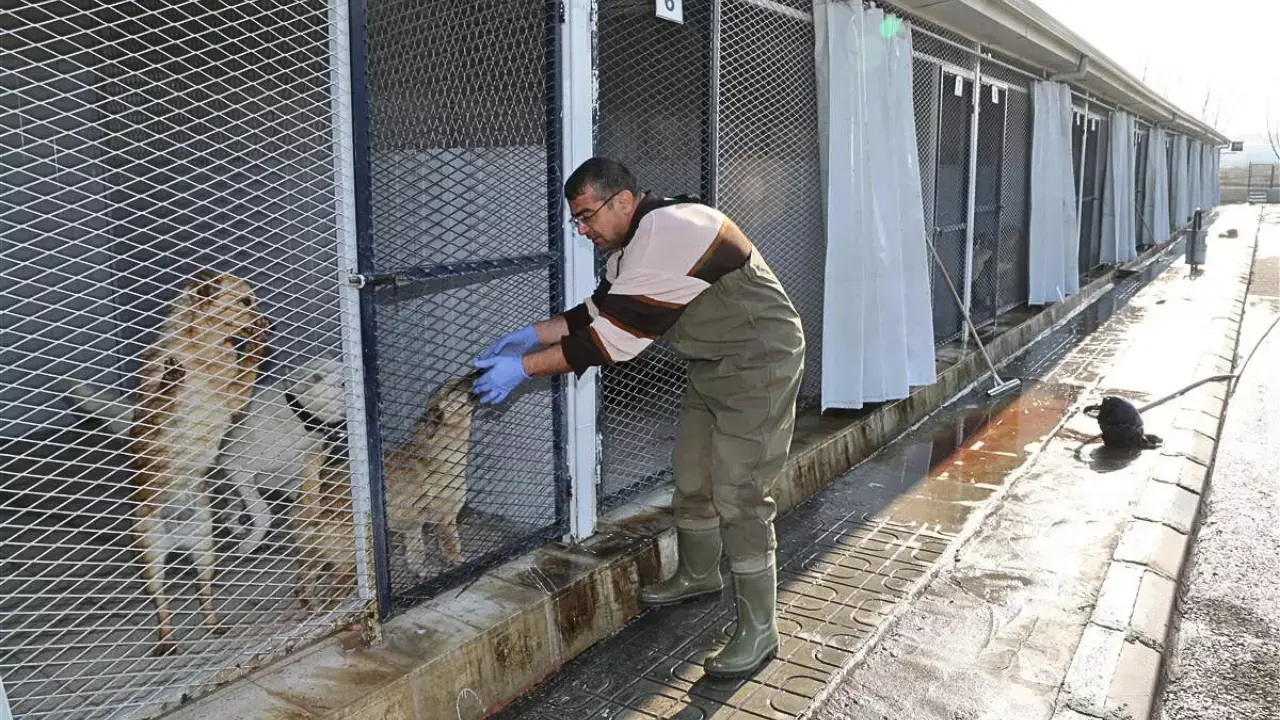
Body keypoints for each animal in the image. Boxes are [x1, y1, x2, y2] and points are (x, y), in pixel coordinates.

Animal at [61, 356, 345, 550]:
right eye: (342, 384)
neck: (302, 418)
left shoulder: (290, 481)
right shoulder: (238, 469)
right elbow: (263, 511)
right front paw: (251, 542)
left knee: (230, 512)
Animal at [127, 267, 267, 650]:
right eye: (245, 301)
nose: (267, 322)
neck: (205, 350)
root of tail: (178, 540)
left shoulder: (235, 399)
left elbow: (248, 367)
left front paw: (257, 346)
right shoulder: (152, 406)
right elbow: (164, 395)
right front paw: (173, 378)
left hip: (206, 547)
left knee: (203, 588)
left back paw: (214, 622)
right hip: (150, 555)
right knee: (161, 602)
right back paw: (167, 639)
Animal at [384, 371, 481, 573]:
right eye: (452, 386)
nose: (476, 371)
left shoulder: (414, 528)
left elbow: (416, 556)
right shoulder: (445, 519)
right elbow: (452, 547)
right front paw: (457, 562)